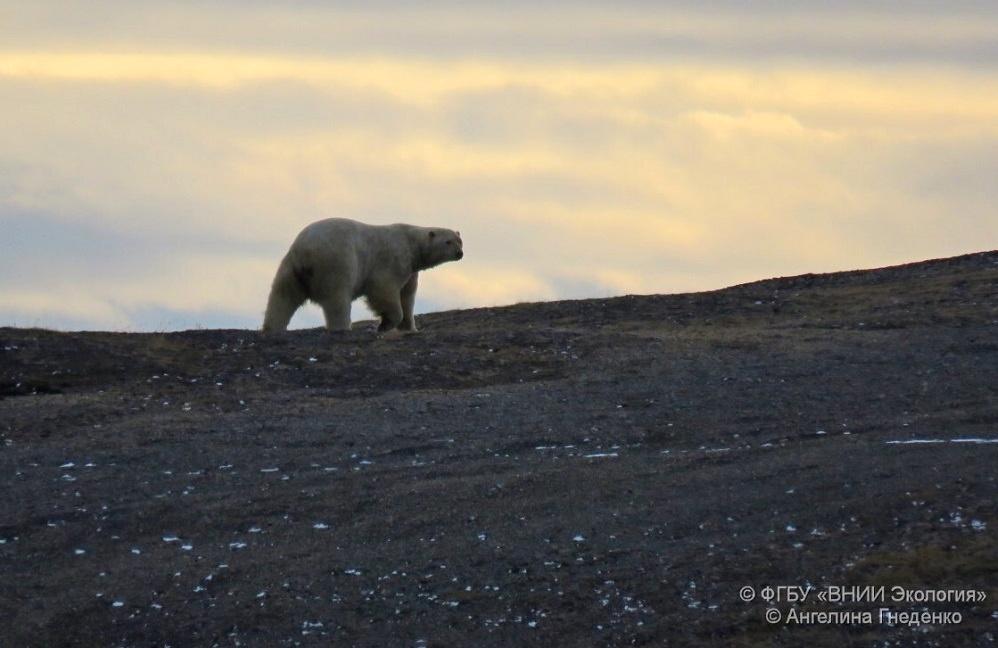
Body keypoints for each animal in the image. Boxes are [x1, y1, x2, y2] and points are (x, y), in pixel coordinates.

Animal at [262, 219, 464, 334]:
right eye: (448, 241)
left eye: (460, 241)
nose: (460, 253)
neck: (410, 241)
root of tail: (305, 252)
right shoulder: (393, 258)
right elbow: (384, 290)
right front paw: (385, 324)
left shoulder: (411, 269)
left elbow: (407, 295)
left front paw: (410, 327)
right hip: (337, 262)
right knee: (338, 299)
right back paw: (343, 327)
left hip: (291, 268)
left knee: (282, 296)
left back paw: (272, 328)